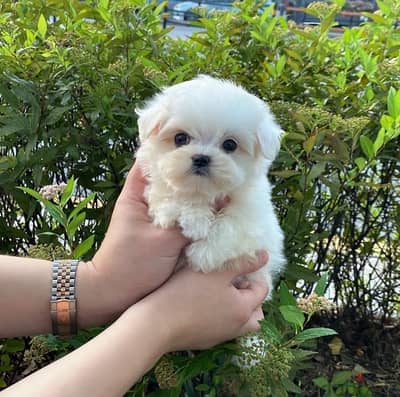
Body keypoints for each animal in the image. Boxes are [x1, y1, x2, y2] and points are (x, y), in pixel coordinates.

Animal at [136, 76, 286, 296]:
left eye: (230, 144)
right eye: (180, 138)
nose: (201, 158)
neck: (203, 190)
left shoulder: (256, 219)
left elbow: (232, 225)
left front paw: (203, 253)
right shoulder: (158, 185)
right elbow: (170, 195)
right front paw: (193, 218)